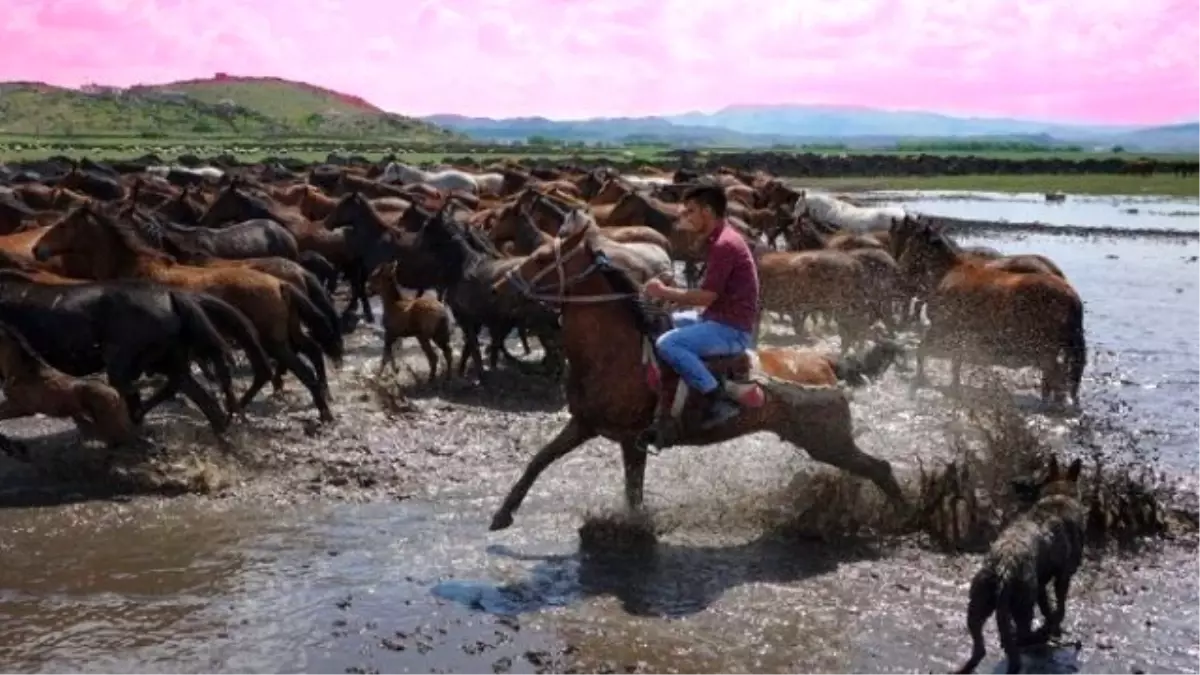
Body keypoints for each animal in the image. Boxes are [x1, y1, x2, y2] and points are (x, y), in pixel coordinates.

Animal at [484, 214, 902, 530]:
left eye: (541, 257)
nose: (498, 286)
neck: (614, 355)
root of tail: (824, 363)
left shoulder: (632, 440)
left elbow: (632, 492)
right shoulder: (584, 424)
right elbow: (540, 459)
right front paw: (503, 514)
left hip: (827, 440)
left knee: (879, 468)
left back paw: (904, 515)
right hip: (825, 441)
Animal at [902, 223, 1089, 401]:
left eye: (912, 243)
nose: (902, 270)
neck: (948, 273)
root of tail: (1071, 294)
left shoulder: (941, 328)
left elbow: (923, 350)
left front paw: (921, 379)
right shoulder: (958, 332)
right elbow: (955, 360)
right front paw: (954, 386)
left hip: (1047, 347)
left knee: (1055, 374)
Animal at [955, 454, 1089, 667]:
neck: (1059, 494)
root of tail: (1004, 568)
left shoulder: (1042, 585)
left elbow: (1047, 607)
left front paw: (1052, 624)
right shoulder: (1063, 577)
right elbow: (1060, 608)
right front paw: (1054, 626)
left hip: (978, 604)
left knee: (980, 648)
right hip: (1023, 604)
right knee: (1022, 636)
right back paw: (1037, 637)